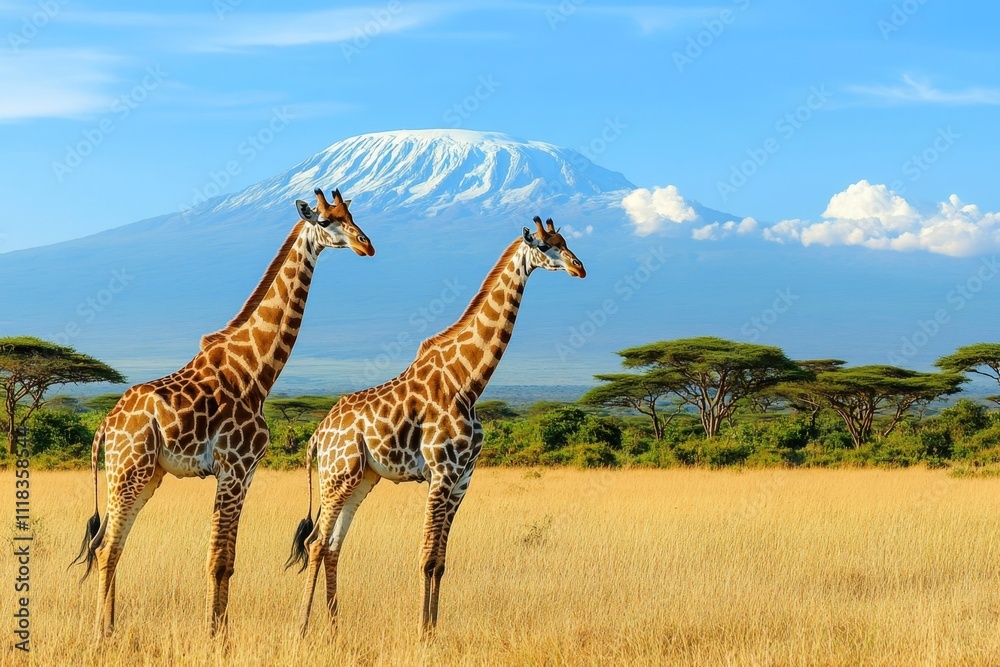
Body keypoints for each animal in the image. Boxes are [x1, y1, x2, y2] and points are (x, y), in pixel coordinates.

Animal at [71, 188, 375, 637]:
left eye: (352, 216)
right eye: (325, 221)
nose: (366, 245)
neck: (255, 371)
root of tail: (105, 425)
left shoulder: (245, 473)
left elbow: (228, 562)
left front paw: (221, 633)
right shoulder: (234, 467)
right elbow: (217, 563)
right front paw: (215, 637)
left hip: (146, 475)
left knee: (110, 543)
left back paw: (109, 629)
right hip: (129, 470)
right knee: (107, 548)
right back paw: (101, 635)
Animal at [287, 216, 586, 636]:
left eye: (565, 241)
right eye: (545, 246)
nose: (579, 267)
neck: (468, 381)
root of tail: (317, 435)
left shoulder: (463, 478)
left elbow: (441, 562)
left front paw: (433, 631)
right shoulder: (441, 472)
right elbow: (426, 557)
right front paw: (420, 633)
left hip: (362, 478)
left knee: (333, 545)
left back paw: (334, 629)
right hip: (337, 474)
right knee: (316, 542)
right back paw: (302, 629)